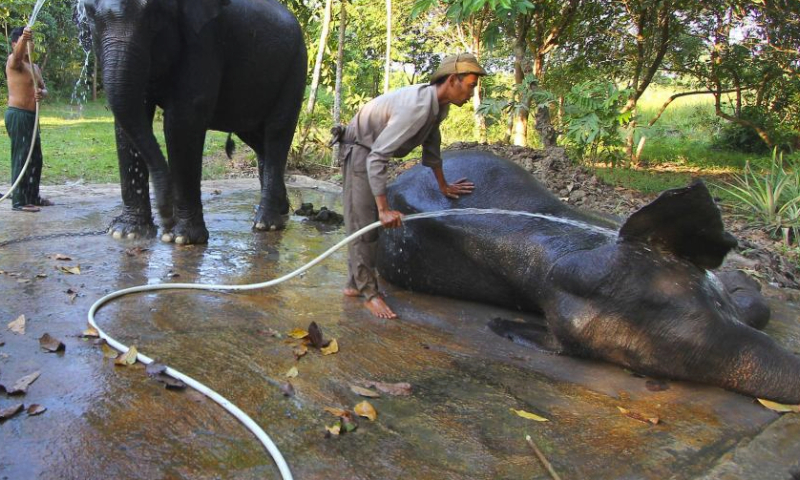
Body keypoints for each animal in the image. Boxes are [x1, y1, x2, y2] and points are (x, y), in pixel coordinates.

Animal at [76, 0, 306, 244]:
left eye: (155, 15)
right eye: (90, 14)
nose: (166, 219)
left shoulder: (204, 41)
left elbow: (183, 121)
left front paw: (181, 238)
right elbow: (131, 119)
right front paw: (126, 232)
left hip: (296, 67)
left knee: (277, 133)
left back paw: (266, 224)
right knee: (257, 140)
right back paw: (282, 211)